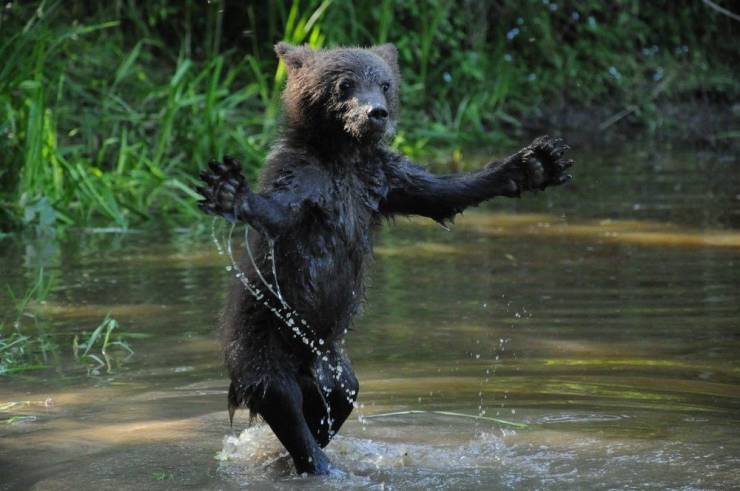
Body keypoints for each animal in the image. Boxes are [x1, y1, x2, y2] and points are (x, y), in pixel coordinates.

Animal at [195, 43, 572, 476]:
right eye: (344, 84)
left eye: (385, 83)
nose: (376, 113)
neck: (342, 157)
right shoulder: (307, 183)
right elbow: (279, 211)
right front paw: (229, 191)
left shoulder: (383, 180)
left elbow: (441, 193)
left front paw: (536, 164)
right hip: (262, 339)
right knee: (280, 396)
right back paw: (317, 462)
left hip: (326, 357)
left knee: (340, 393)